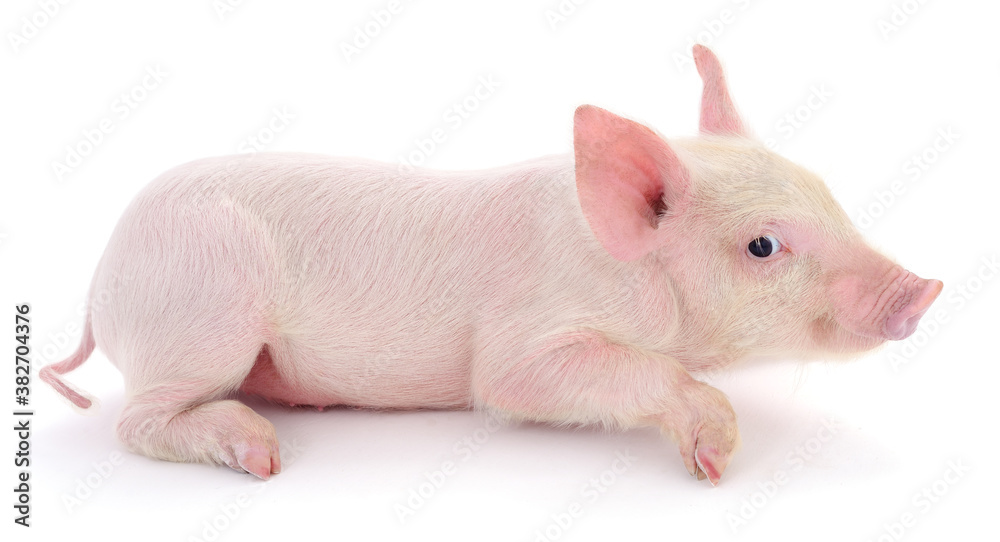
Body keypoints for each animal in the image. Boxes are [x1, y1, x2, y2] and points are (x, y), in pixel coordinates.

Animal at [41, 45, 942, 485]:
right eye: (763, 245)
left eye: (826, 189)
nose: (924, 289)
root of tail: (99, 280)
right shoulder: (525, 341)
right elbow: (521, 382)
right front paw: (717, 462)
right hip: (202, 315)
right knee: (136, 421)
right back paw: (262, 458)